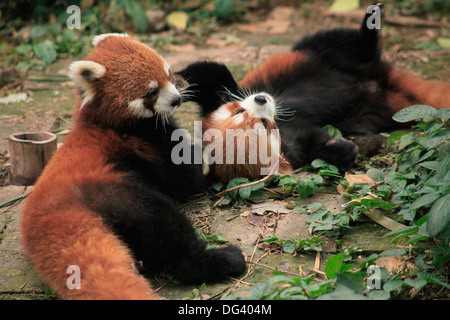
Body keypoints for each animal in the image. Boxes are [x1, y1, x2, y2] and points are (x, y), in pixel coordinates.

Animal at [20, 33, 246, 300]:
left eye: (168, 74)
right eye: (151, 92)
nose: (177, 100)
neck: (104, 122)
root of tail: (47, 215)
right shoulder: (146, 142)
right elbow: (188, 179)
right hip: (113, 193)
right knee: (162, 225)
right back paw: (217, 260)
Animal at [177, 3, 450, 182]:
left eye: (239, 109)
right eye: (264, 125)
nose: (262, 98)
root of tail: (378, 79)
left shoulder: (234, 89)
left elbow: (211, 73)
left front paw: (177, 78)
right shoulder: (295, 145)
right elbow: (316, 144)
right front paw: (340, 149)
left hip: (314, 57)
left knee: (340, 43)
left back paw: (371, 25)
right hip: (373, 111)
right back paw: (368, 139)